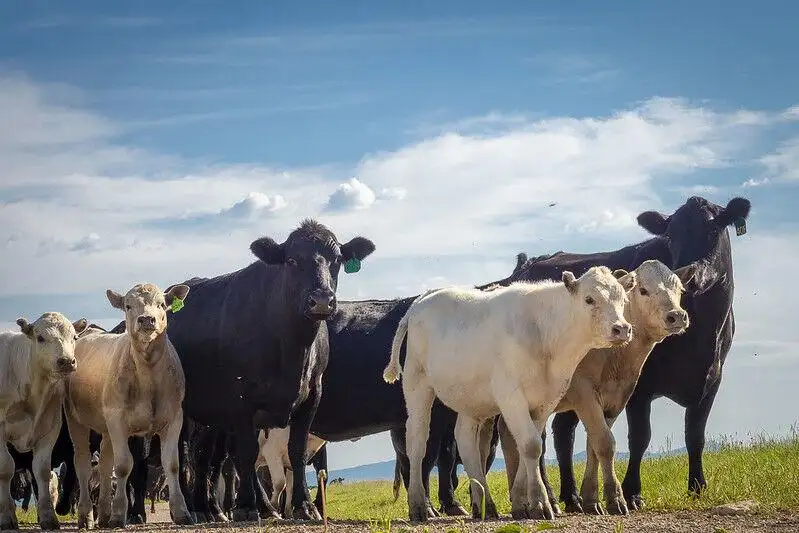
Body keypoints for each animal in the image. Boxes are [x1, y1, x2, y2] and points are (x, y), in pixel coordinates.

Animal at [0, 312, 88, 531]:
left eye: (74, 337)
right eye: (40, 338)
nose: (66, 361)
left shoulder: (49, 429)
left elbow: (42, 471)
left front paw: (48, 517)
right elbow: (5, 468)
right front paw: (6, 517)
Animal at [64, 283, 193, 529]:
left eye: (161, 304)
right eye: (128, 305)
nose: (146, 320)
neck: (149, 376)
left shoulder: (174, 418)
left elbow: (171, 464)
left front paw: (182, 512)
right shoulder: (118, 421)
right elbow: (124, 465)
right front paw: (118, 515)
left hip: (106, 426)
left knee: (105, 464)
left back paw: (103, 514)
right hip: (76, 420)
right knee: (83, 464)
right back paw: (87, 515)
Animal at [152, 219, 375, 522]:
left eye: (338, 260)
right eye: (292, 260)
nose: (321, 300)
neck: (292, 349)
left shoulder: (312, 394)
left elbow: (295, 451)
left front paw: (303, 507)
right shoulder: (240, 398)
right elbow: (246, 453)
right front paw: (246, 506)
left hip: (213, 418)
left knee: (207, 456)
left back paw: (220, 509)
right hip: (183, 410)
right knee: (186, 455)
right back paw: (193, 509)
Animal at [384, 266, 637, 522]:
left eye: (623, 300)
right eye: (589, 299)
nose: (622, 329)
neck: (544, 334)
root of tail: (425, 298)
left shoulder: (545, 401)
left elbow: (529, 447)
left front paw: (525, 503)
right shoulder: (511, 397)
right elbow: (531, 445)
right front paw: (539, 503)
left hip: (471, 399)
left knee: (465, 441)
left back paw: (484, 505)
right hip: (417, 383)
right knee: (417, 441)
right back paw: (419, 506)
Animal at [498, 259, 701, 516]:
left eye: (680, 290)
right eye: (643, 290)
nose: (677, 315)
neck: (615, 358)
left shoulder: (615, 399)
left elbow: (594, 444)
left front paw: (591, 498)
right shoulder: (584, 392)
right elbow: (605, 443)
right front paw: (615, 499)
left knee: (509, 433)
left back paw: (521, 499)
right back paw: (542, 500)